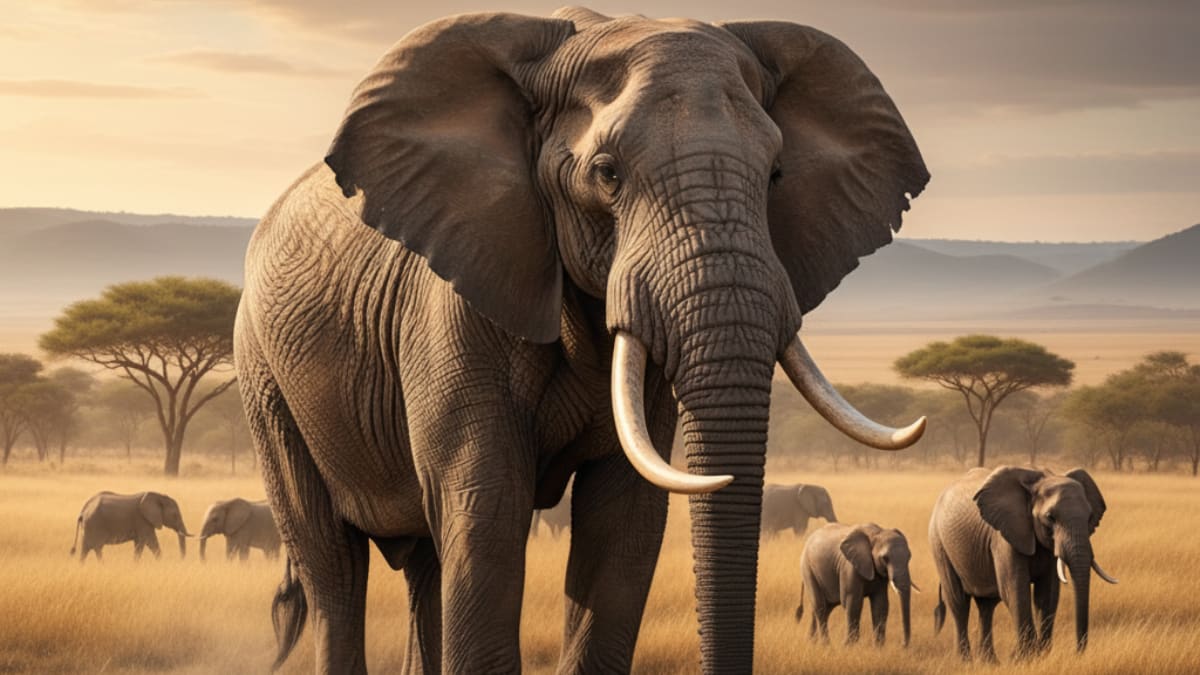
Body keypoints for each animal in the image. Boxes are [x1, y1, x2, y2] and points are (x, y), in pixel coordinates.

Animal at [235, 7, 928, 673]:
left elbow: (625, 520)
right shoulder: (453, 301)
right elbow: (486, 508)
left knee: (427, 563)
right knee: (334, 568)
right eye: (607, 173)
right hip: (266, 379)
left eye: (777, 174)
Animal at [928, 466, 1118, 661]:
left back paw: (990, 662)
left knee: (986, 606)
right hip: (939, 543)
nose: (1077, 652)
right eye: (1050, 517)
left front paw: (1040, 655)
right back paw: (966, 661)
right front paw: (1024, 657)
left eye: (1090, 517)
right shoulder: (1005, 537)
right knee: (959, 602)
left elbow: (1047, 594)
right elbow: (1015, 589)